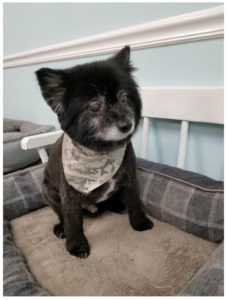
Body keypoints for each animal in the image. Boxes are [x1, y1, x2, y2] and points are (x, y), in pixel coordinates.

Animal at [36, 46, 153, 258]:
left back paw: (116, 206)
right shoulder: (70, 195)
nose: (127, 125)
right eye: (95, 106)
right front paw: (76, 246)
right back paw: (60, 228)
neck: (101, 151)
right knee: (61, 216)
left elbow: (134, 201)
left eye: (124, 97)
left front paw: (139, 222)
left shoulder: (130, 178)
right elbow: (73, 221)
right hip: (49, 193)